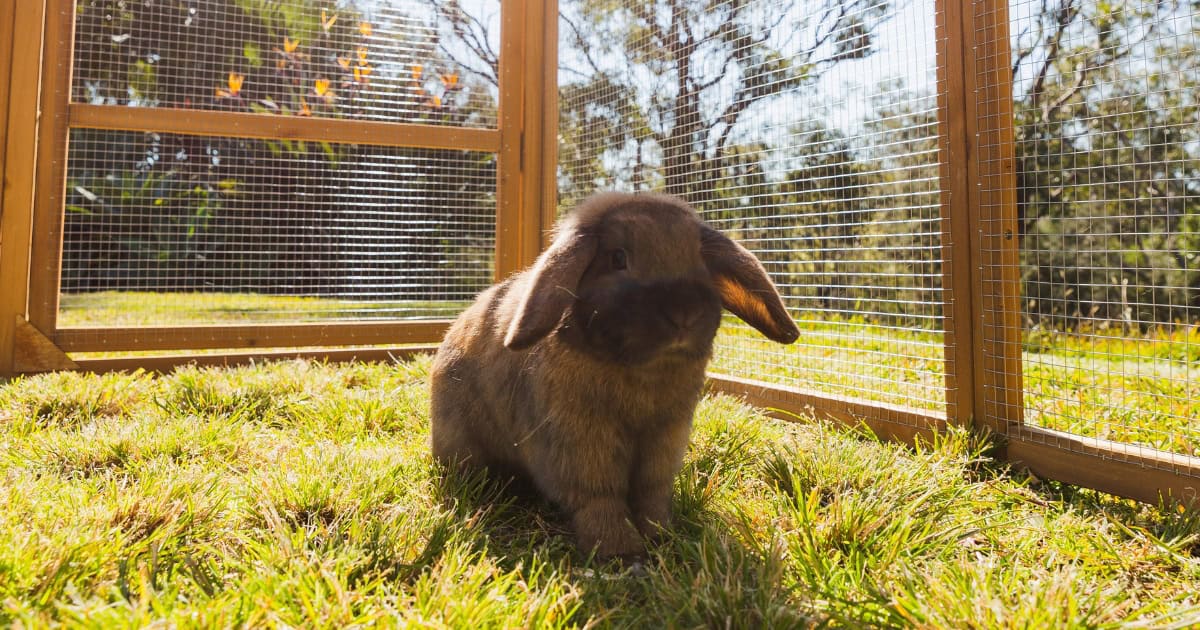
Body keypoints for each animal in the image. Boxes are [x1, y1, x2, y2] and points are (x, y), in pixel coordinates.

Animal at [430, 192, 799, 560]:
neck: (644, 369)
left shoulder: (664, 438)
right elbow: (599, 496)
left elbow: (651, 492)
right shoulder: (582, 440)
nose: (684, 313)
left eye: (698, 258)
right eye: (617, 257)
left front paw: (661, 535)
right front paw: (619, 550)